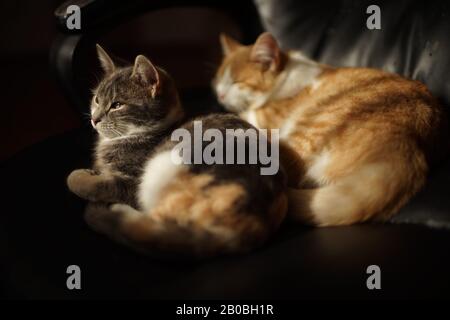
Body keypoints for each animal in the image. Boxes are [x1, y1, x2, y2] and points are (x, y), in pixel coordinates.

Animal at [67, 45, 286, 256]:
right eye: (96, 99)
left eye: (117, 105)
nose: (94, 119)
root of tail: (256, 224)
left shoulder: (132, 182)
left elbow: (98, 183)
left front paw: (80, 177)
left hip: (161, 170)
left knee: (147, 232)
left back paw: (110, 213)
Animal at [214, 31, 446, 228]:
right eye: (218, 83)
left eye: (236, 83)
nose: (221, 95)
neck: (286, 74)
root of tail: (407, 146)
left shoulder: (265, 118)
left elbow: (247, 115)